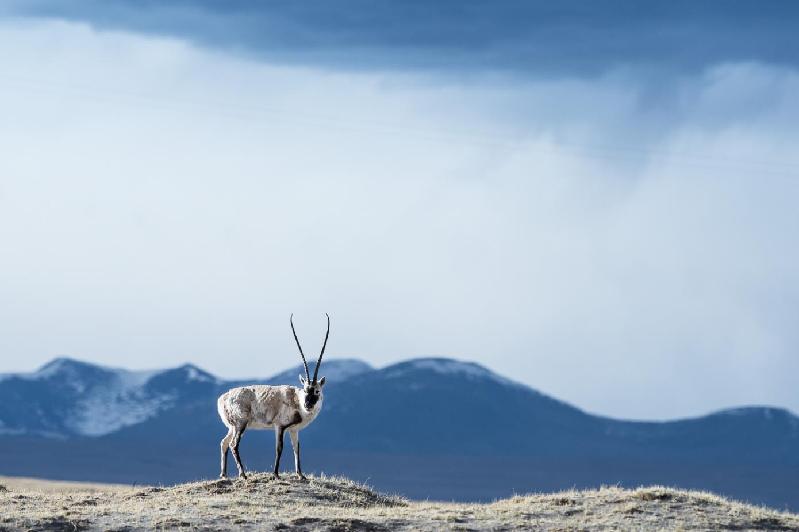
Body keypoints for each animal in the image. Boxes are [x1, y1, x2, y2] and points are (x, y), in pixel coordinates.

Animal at [216, 314, 328, 480]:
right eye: (305, 389)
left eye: (317, 391)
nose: (308, 405)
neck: (297, 400)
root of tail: (222, 399)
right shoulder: (279, 426)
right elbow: (279, 448)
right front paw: (276, 474)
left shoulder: (294, 430)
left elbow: (296, 448)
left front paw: (301, 475)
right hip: (240, 424)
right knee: (233, 444)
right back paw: (243, 474)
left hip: (232, 426)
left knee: (224, 442)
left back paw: (224, 475)